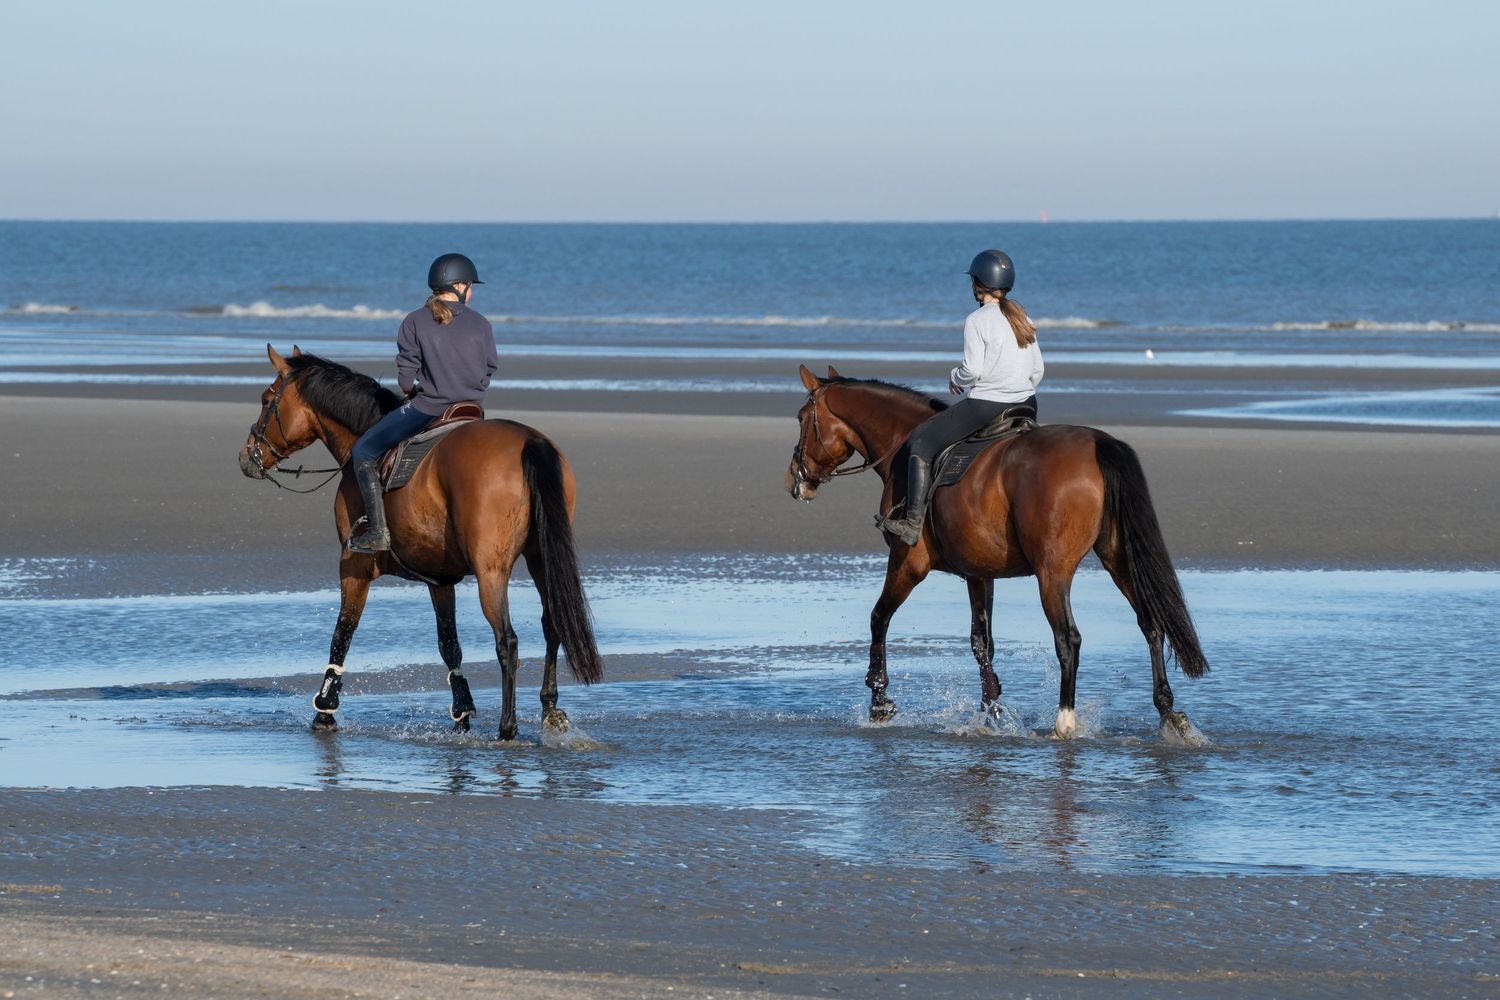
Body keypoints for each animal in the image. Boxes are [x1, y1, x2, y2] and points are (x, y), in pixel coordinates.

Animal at [238, 345, 602, 739]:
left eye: (266, 400)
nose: (247, 456)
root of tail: (528, 441)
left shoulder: (353, 565)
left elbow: (343, 633)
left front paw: (325, 710)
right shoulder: (439, 580)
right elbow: (449, 644)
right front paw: (462, 713)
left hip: (491, 570)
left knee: (508, 640)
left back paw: (508, 727)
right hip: (540, 557)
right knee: (552, 624)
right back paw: (549, 709)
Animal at [785, 365, 1209, 742]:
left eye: (802, 418)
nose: (795, 479)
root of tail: (1097, 444)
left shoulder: (908, 563)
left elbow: (879, 618)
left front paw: (879, 702)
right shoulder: (979, 572)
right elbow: (981, 643)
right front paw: (991, 713)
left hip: (1052, 572)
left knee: (1069, 639)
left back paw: (1065, 722)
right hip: (1118, 560)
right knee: (1151, 624)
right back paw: (1169, 713)